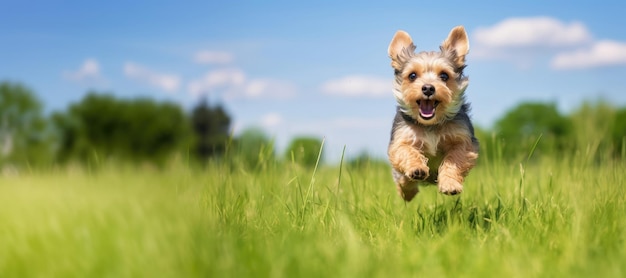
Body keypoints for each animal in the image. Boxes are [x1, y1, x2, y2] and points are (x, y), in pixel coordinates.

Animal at [386, 26, 478, 201]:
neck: (431, 124)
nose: (428, 88)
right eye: (412, 75)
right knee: (403, 180)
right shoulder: (400, 139)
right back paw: (408, 190)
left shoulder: (463, 140)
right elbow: (406, 150)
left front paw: (450, 184)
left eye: (444, 76)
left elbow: (454, 159)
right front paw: (416, 169)